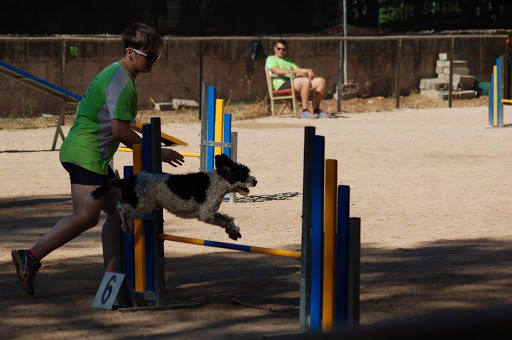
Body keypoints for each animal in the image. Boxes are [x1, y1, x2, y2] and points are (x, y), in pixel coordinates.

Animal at [87, 154, 258, 239]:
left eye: (248, 171)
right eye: (243, 174)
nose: (255, 181)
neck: (218, 181)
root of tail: (127, 180)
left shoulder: (211, 213)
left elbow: (227, 219)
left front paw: (234, 231)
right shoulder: (206, 214)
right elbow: (223, 220)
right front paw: (232, 231)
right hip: (143, 203)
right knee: (121, 208)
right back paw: (125, 225)